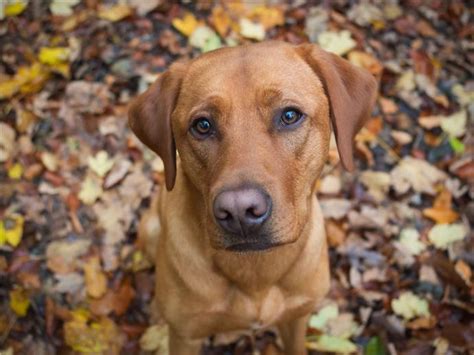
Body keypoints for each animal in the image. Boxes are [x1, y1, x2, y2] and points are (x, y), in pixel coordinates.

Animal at [127, 40, 378, 354]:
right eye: (202, 125)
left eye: (289, 116)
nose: (239, 211)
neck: (256, 271)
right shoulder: (186, 335)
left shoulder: (296, 317)